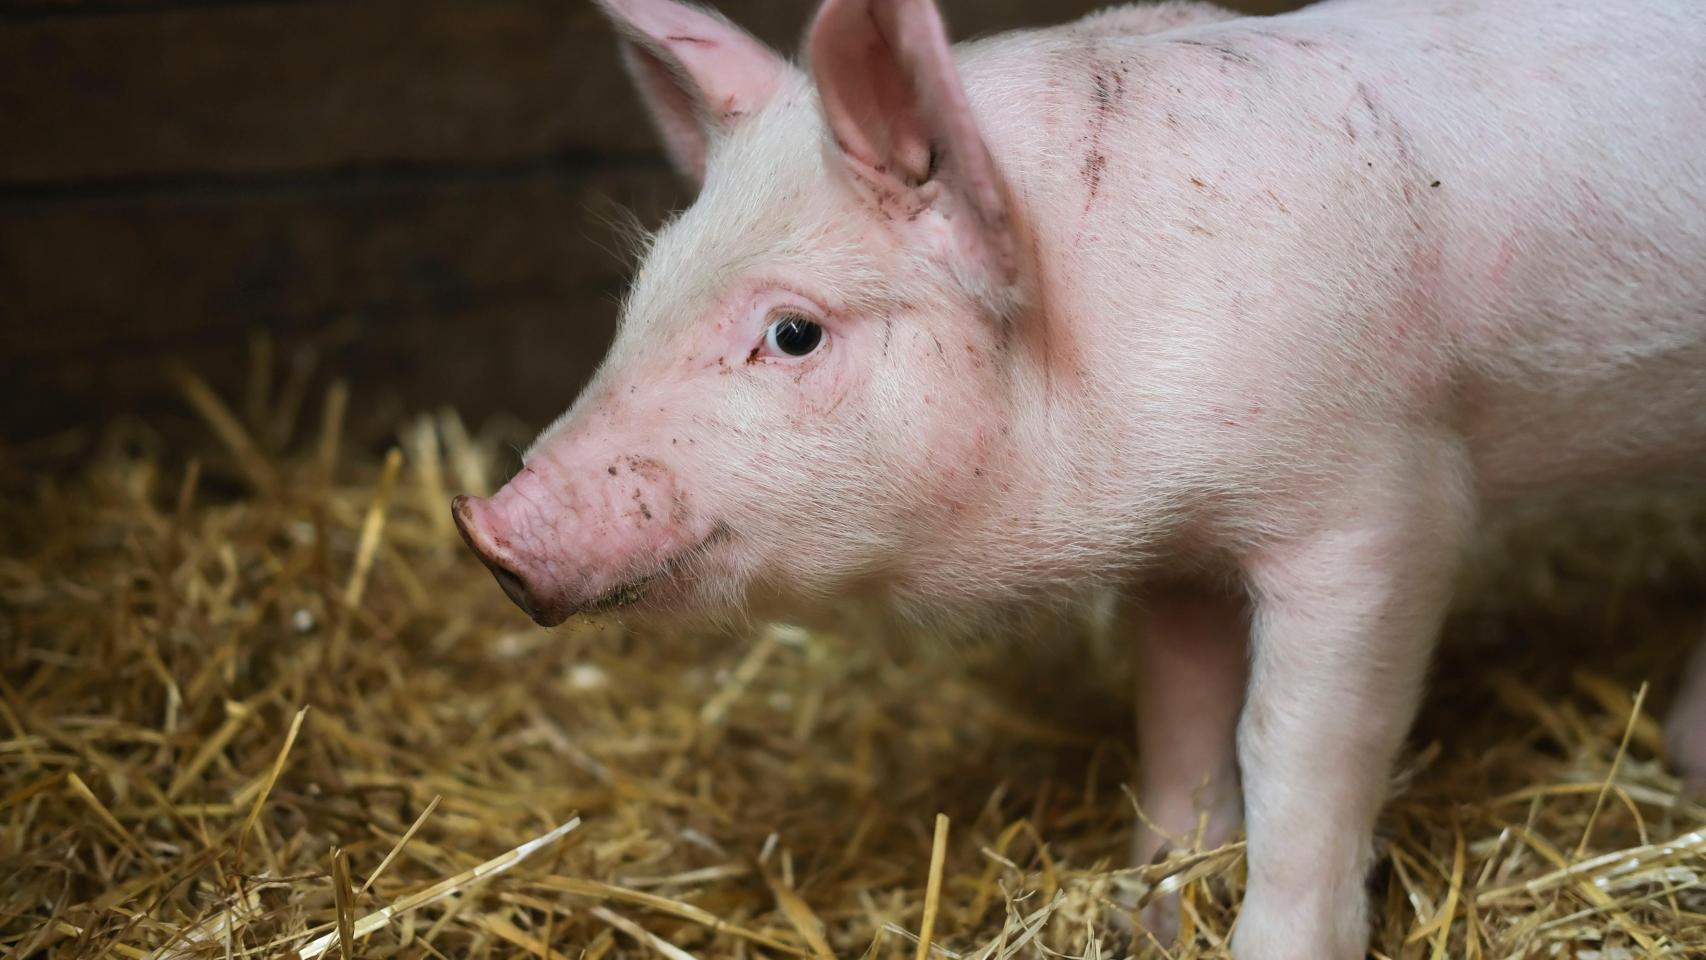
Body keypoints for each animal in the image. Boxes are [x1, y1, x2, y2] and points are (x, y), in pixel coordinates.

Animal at [453, 0, 1706, 954]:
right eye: (643, 286)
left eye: (793, 333)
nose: (486, 526)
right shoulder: (1182, 550)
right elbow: (1180, 718)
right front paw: (1152, 906)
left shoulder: (1380, 509)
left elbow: (1294, 749)